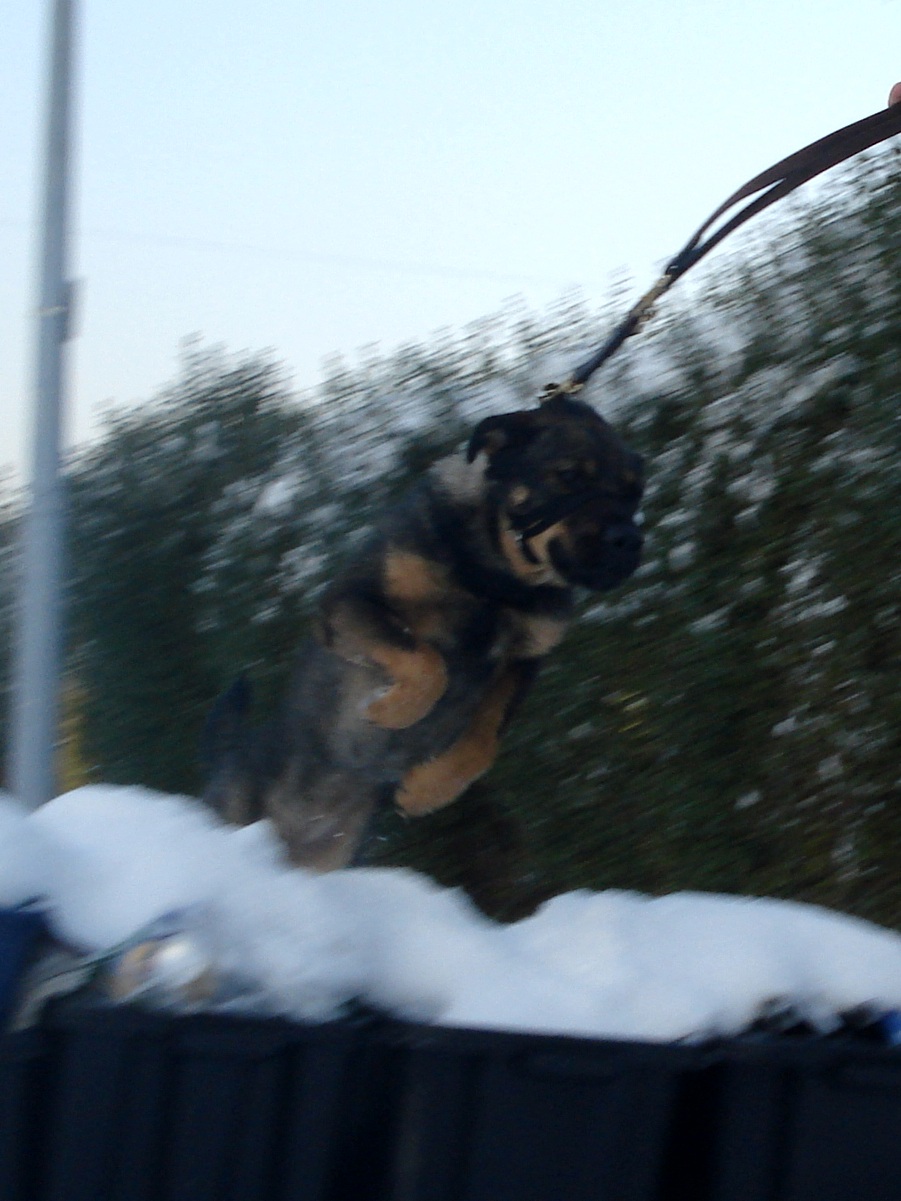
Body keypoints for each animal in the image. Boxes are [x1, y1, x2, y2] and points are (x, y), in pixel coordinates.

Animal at [203, 394, 644, 870]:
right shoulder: (350, 602)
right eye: (568, 476)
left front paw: (427, 791)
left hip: (332, 853)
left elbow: (484, 740)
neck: (499, 580)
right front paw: (392, 710)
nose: (629, 540)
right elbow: (427, 663)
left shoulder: (525, 659)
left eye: (635, 491)